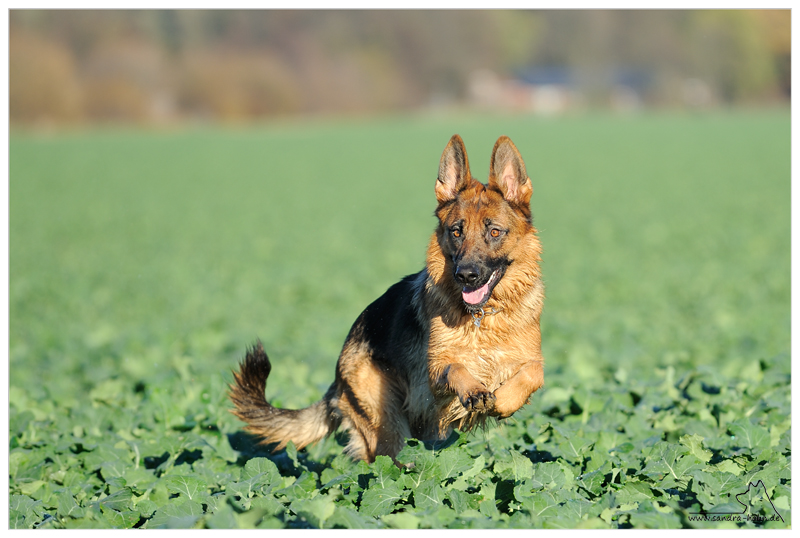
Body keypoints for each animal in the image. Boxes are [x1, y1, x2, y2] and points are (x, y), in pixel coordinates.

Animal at [231, 134, 544, 460]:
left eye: (494, 232)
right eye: (456, 232)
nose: (466, 275)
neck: (483, 318)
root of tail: (337, 375)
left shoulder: (531, 361)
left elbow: (534, 373)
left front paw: (503, 401)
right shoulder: (436, 372)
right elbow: (456, 367)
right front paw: (474, 390)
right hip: (387, 430)